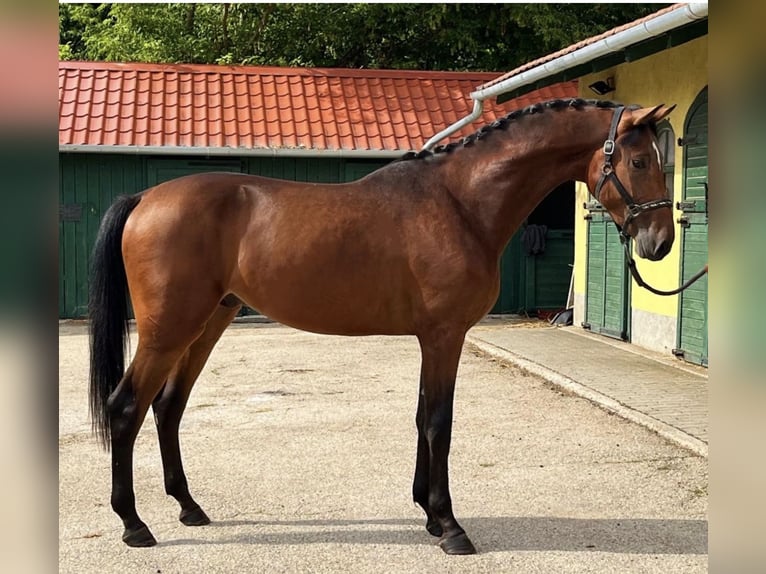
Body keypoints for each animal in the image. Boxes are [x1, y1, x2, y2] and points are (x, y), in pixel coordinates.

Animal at [88, 99, 676, 554]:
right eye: (640, 160)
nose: (660, 242)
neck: (460, 202)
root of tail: (145, 198)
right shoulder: (445, 336)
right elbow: (439, 423)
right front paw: (451, 527)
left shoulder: (431, 338)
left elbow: (420, 418)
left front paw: (429, 515)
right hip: (170, 329)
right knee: (126, 408)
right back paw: (134, 525)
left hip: (207, 323)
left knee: (168, 407)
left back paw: (189, 507)